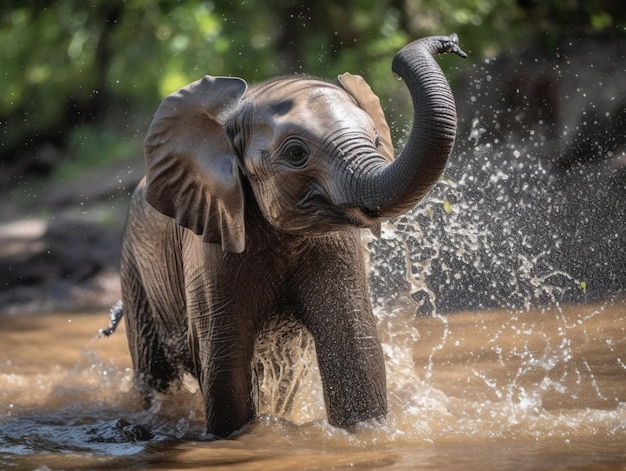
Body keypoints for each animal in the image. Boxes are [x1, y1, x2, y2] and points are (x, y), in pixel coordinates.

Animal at [112, 33, 464, 438]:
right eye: (296, 153)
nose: (450, 43)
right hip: (134, 271)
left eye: (377, 140)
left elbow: (356, 349)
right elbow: (223, 364)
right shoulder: (209, 249)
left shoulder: (335, 248)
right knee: (154, 374)